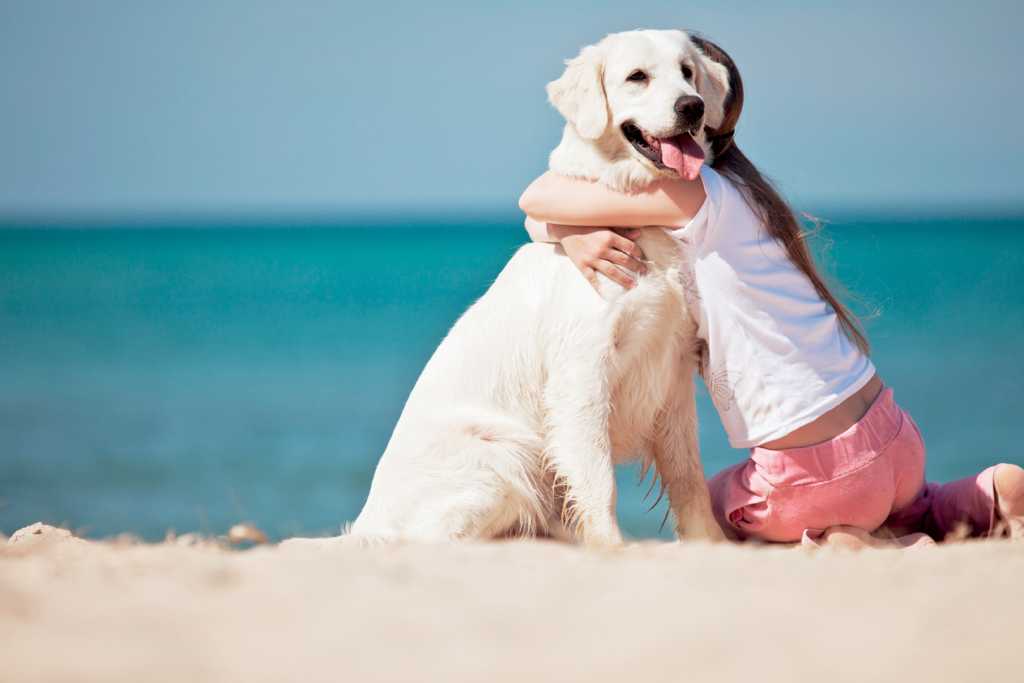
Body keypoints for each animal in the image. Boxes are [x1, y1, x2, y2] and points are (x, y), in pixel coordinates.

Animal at [288, 29, 733, 548]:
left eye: (687, 71)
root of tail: (367, 524)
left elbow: (688, 478)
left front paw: (711, 545)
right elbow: (598, 480)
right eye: (637, 77)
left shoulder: (672, 368)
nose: (692, 107)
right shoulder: (581, 371)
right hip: (502, 455)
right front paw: (610, 547)